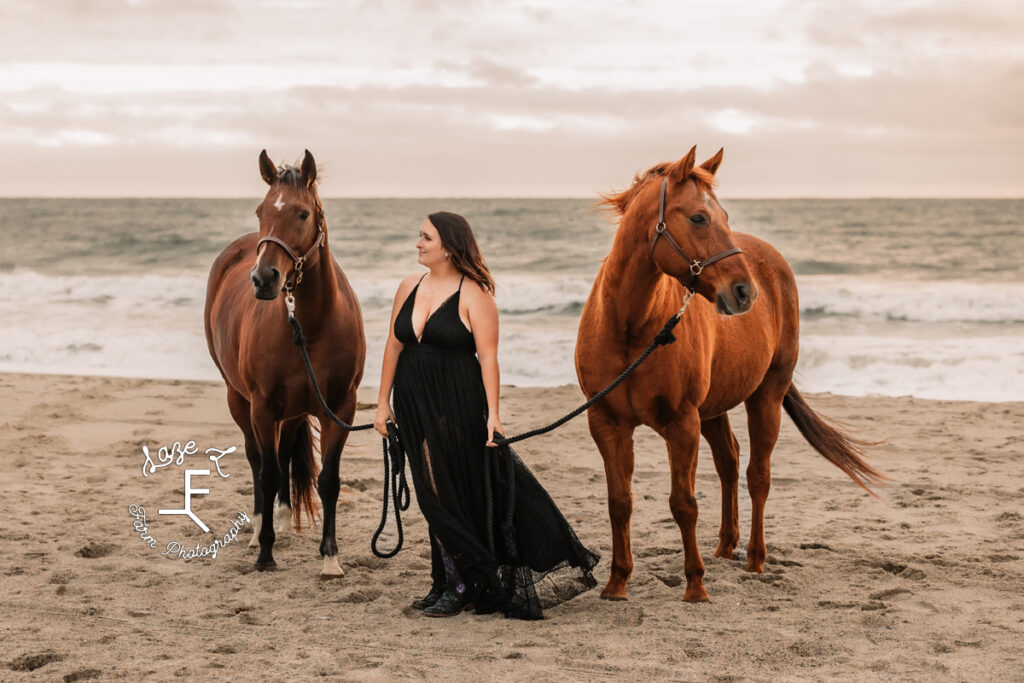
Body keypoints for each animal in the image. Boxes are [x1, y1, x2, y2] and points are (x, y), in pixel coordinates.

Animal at [201, 149, 366, 577]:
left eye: (303, 213)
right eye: (260, 211)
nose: (264, 279)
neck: (310, 323)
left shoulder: (340, 407)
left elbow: (329, 480)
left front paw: (330, 558)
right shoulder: (262, 406)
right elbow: (270, 471)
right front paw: (265, 552)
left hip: (294, 409)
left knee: (287, 448)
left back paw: (285, 517)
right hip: (240, 400)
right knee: (258, 460)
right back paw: (261, 526)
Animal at [577, 147, 880, 602]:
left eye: (724, 216)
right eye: (700, 218)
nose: (744, 292)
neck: (631, 327)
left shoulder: (681, 423)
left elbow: (683, 503)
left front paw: (695, 585)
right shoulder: (607, 423)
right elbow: (620, 503)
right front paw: (617, 583)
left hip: (765, 398)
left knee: (757, 475)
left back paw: (754, 558)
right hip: (714, 409)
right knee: (729, 461)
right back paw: (724, 546)